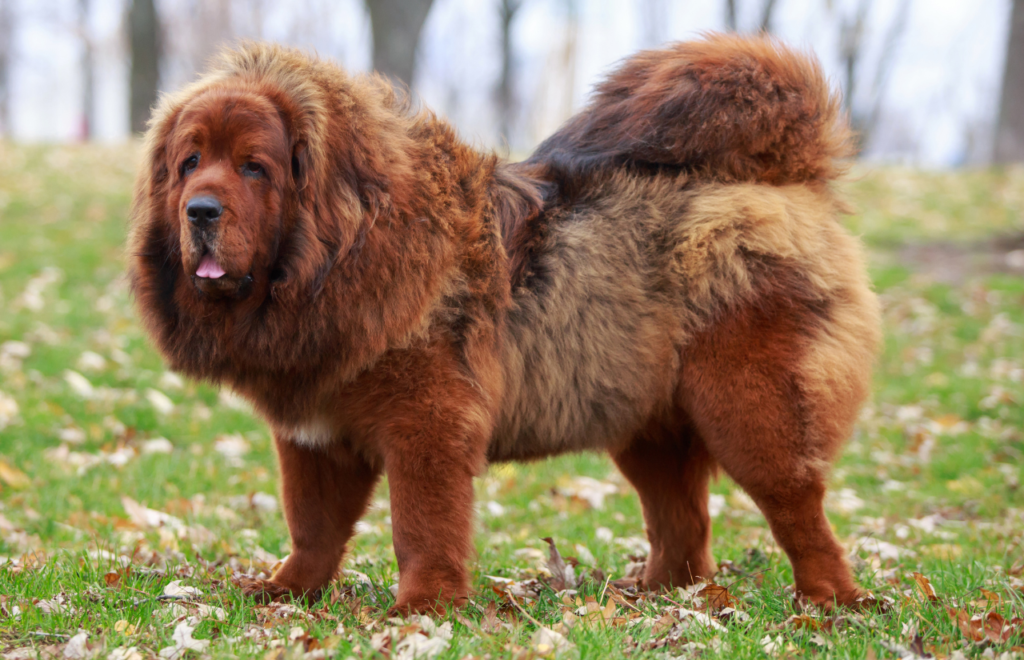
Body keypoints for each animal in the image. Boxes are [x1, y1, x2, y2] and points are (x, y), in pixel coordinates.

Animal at [128, 34, 880, 613]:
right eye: (190, 162)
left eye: (254, 168)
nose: (199, 210)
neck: (341, 255)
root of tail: (788, 180)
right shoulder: (314, 436)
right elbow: (312, 526)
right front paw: (286, 592)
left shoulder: (427, 423)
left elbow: (422, 525)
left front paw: (423, 607)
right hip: (645, 423)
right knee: (685, 527)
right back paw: (655, 595)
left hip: (749, 409)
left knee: (798, 510)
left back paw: (829, 603)